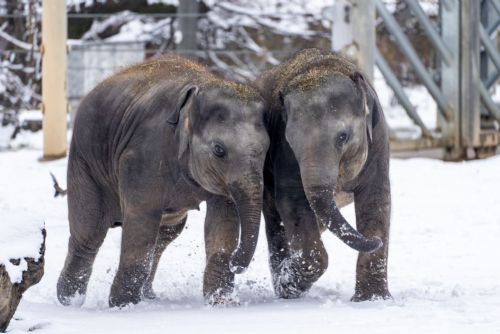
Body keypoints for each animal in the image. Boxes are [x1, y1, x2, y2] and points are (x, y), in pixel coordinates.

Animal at [55, 55, 270, 308]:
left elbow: (223, 219)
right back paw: (69, 300)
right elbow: (141, 218)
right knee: (90, 232)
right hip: (85, 162)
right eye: (219, 150)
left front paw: (221, 302)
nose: (236, 263)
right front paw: (122, 305)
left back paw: (148, 296)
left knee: (166, 233)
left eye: (267, 149)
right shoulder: (143, 157)